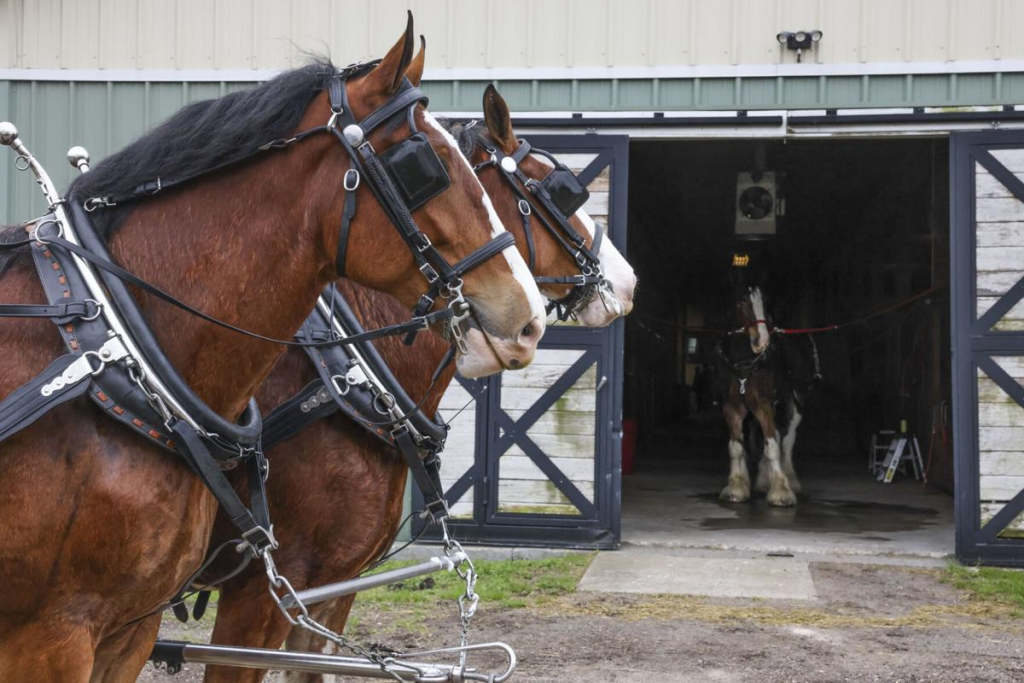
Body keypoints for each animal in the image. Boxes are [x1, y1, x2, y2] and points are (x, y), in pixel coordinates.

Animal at [717, 284, 811, 508]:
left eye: (765, 301)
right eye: (742, 301)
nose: (762, 341)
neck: (744, 363)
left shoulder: (763, 404)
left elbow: (772, 446)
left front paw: (781, 492)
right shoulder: (732, 406)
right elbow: (736, 446)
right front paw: (736, 487)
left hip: (795, 404)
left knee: (788, 439)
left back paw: (789, 479)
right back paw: (762, 480)